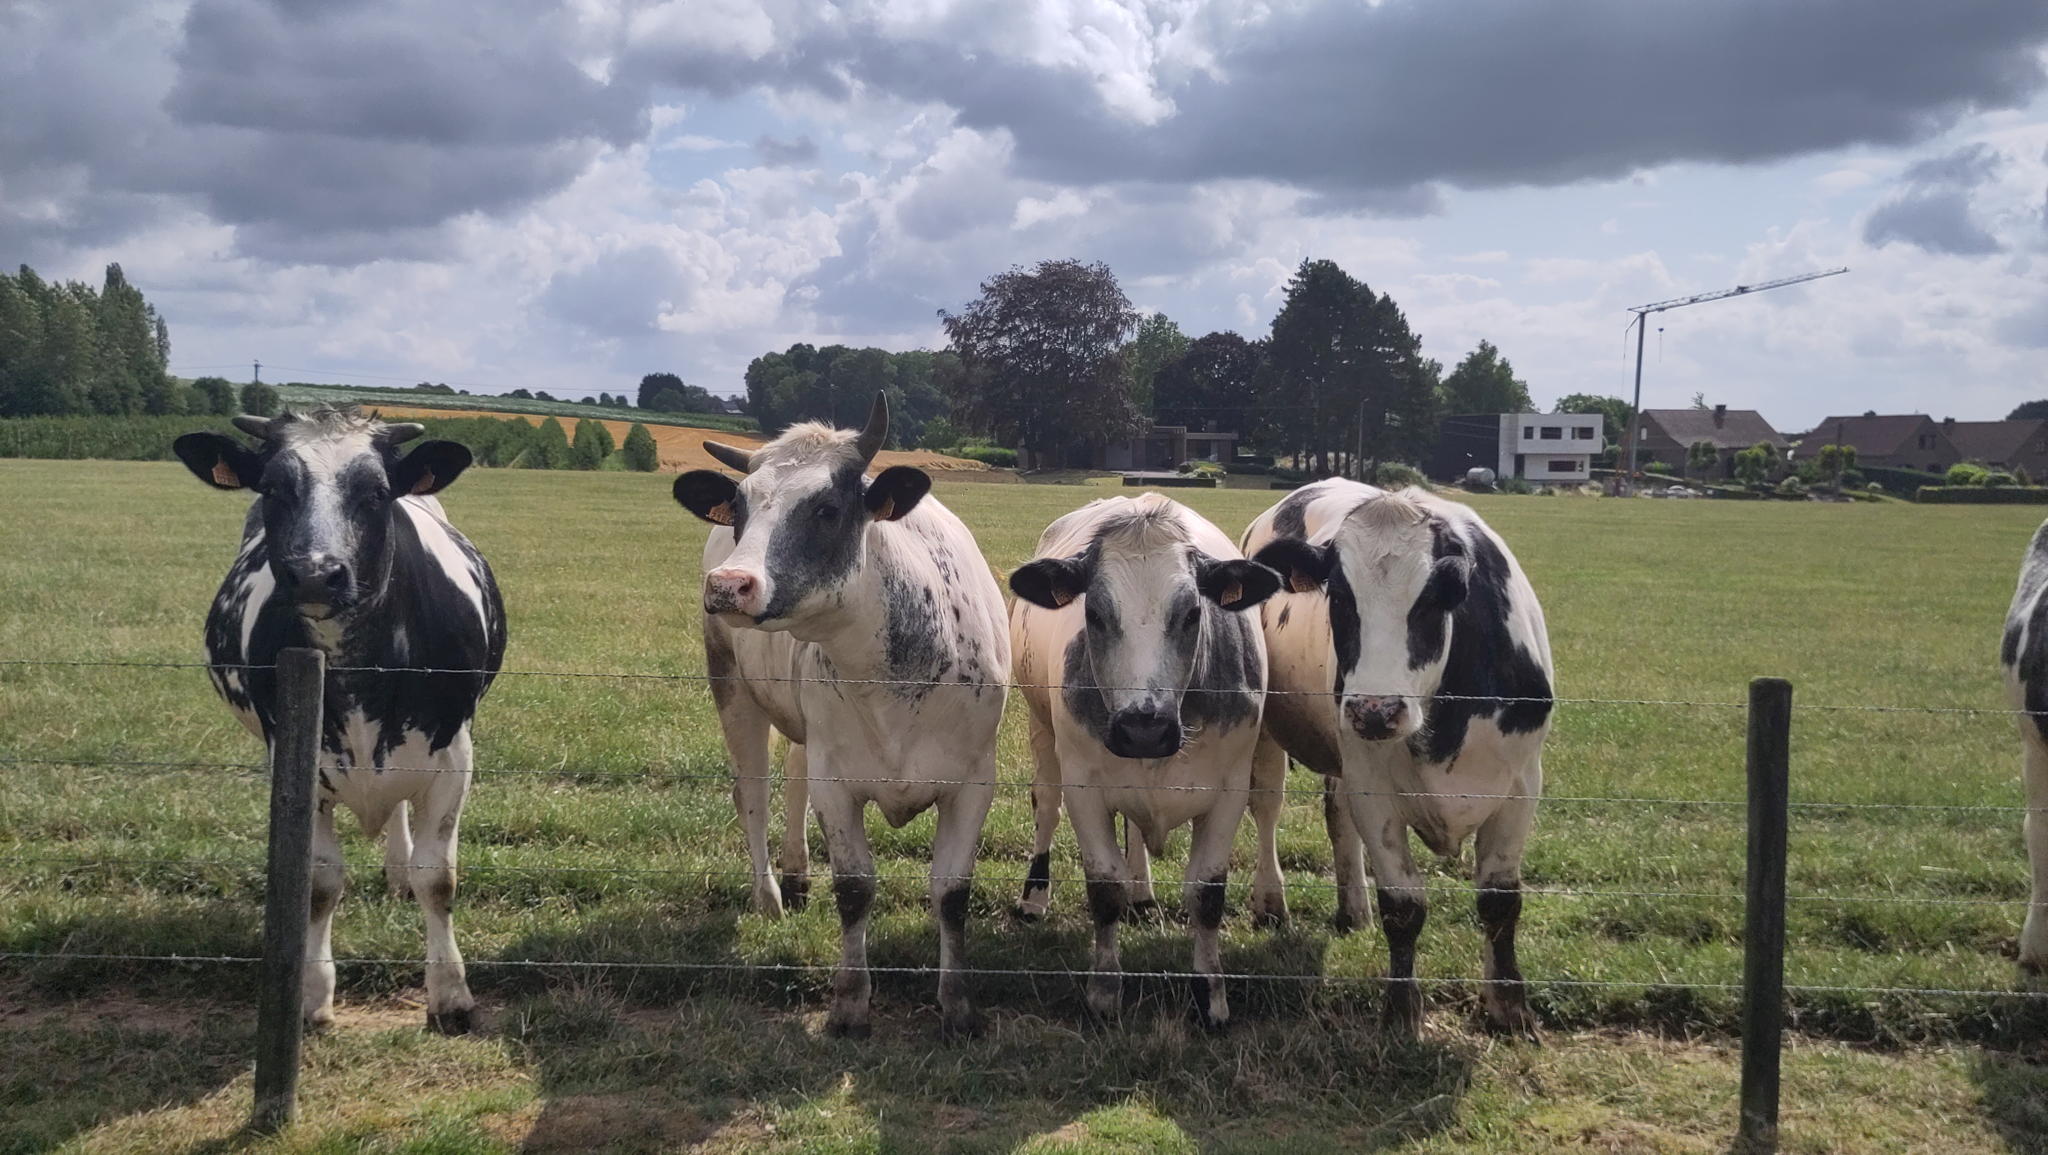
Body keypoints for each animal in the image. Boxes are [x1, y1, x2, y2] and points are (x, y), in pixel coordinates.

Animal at [172, 406, 506, 1033]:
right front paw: (310, 994)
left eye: (375, 492)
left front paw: (451, 996)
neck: (358, 673)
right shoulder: (295, 761)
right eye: (273, 487)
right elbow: (318, 881)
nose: (315, 574)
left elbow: (438, 877)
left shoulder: (453, 758)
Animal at [672, 393, 1009, 1038]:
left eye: (826, 509)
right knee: (752, 793)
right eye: (740, 509)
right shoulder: (837, 781)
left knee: (791, 777)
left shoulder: (974, 781)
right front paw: (851, 1002)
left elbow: (951, 893)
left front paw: (959, 1004)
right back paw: (771, 897)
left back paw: (797, 874)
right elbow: (854, 888)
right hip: (732, 688)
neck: (892, 676)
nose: (728, 584)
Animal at [1008, 493, 1281, 1028]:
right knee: (1046, 808)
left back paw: (1142, 892)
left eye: (1193, 613)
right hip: (1040, 730)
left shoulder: (1229, 789)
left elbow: (1207, 895)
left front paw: (1210, 998)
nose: (1144, 727)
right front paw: (1104, 993)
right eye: (1094, 613)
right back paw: (1034, 899)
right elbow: (1104, 890)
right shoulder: (1085, 787)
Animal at [1243, 479, 1553, 1038]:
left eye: (1432, 599)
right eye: (1339, 596)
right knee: (1267, 808)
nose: (1376, 710)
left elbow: (1500, 901)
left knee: (1337, 819)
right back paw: (1271, 902)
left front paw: (1510, 1009)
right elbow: (1404, 905)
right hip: (1273, 735)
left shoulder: (1520, 788)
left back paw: (1352, 911)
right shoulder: (1375, 792)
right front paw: (1402, 1011)